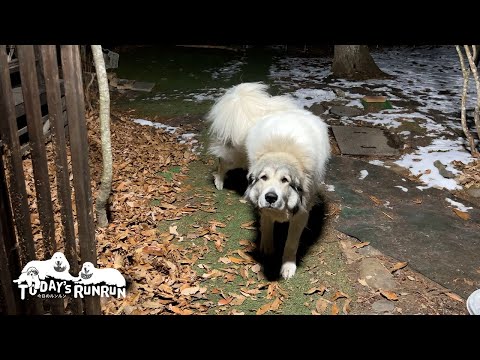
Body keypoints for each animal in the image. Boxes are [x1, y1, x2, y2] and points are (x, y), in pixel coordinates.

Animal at [206, 83, 330, 280]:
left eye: (285, 180)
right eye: (264, 177)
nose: (271, 197)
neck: (283, 151)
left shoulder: (301, 213)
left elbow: (291, 243)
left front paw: (288, 266)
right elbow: (266, 224)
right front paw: (267, 246)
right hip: (238, 157)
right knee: (222, 162)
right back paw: (219, 181)